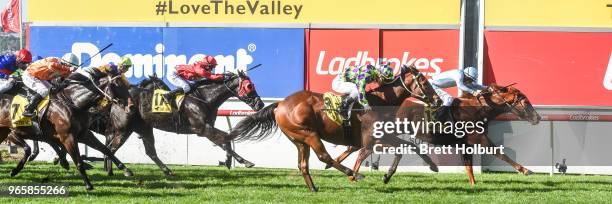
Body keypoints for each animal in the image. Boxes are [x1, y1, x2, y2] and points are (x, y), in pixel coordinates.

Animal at [0, 74, 134, 190]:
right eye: (117, 86)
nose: (131, 107)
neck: (72, 102)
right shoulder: (68, 137)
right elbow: (78, 161)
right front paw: (88, 184)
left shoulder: (84, 135)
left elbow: (106, 150)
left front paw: (126, 169)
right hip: (10, 131)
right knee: (28, 147)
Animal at [99, 71, 264, 176]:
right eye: (249, 86)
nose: (260, 104)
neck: (203, 97)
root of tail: (116, 100)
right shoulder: (202, 128)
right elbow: (226, 138)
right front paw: (239, 161)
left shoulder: (206, 128)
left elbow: (223, 141)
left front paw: (233, 161)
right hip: (124, 129)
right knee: (110, 148)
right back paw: (119, 171)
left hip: (144, 128)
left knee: (149, 152)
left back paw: (167, 171)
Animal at [232, 65, 442, 191]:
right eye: (424, 82)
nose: (438, 100)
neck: (381, 101)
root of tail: (280, 104)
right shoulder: (372, 140)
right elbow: (377, 151)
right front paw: (367, 175)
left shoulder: (382, 136)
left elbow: (409, 146)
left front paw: (428, 166)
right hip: (309, 134)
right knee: (324, 156)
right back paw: (353, 174)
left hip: (299, 139)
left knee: (303, 164)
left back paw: (313, 188)